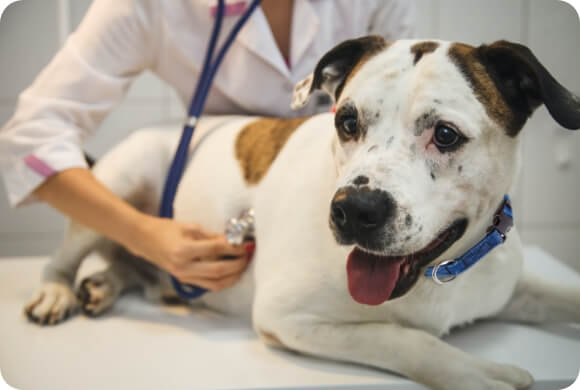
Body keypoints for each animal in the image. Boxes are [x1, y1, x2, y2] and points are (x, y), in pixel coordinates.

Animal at [22, 37, 580, 390]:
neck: (436, 276)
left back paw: (104, 284)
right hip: (123, 175)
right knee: (69, 250)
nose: (354, 210)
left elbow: (563, 295)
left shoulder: (510, 284)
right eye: (347, 121)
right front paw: (479, 373)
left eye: (445, 134)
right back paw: (57, 291)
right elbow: (400, 338)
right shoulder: (287, 316)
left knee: (130, 262)